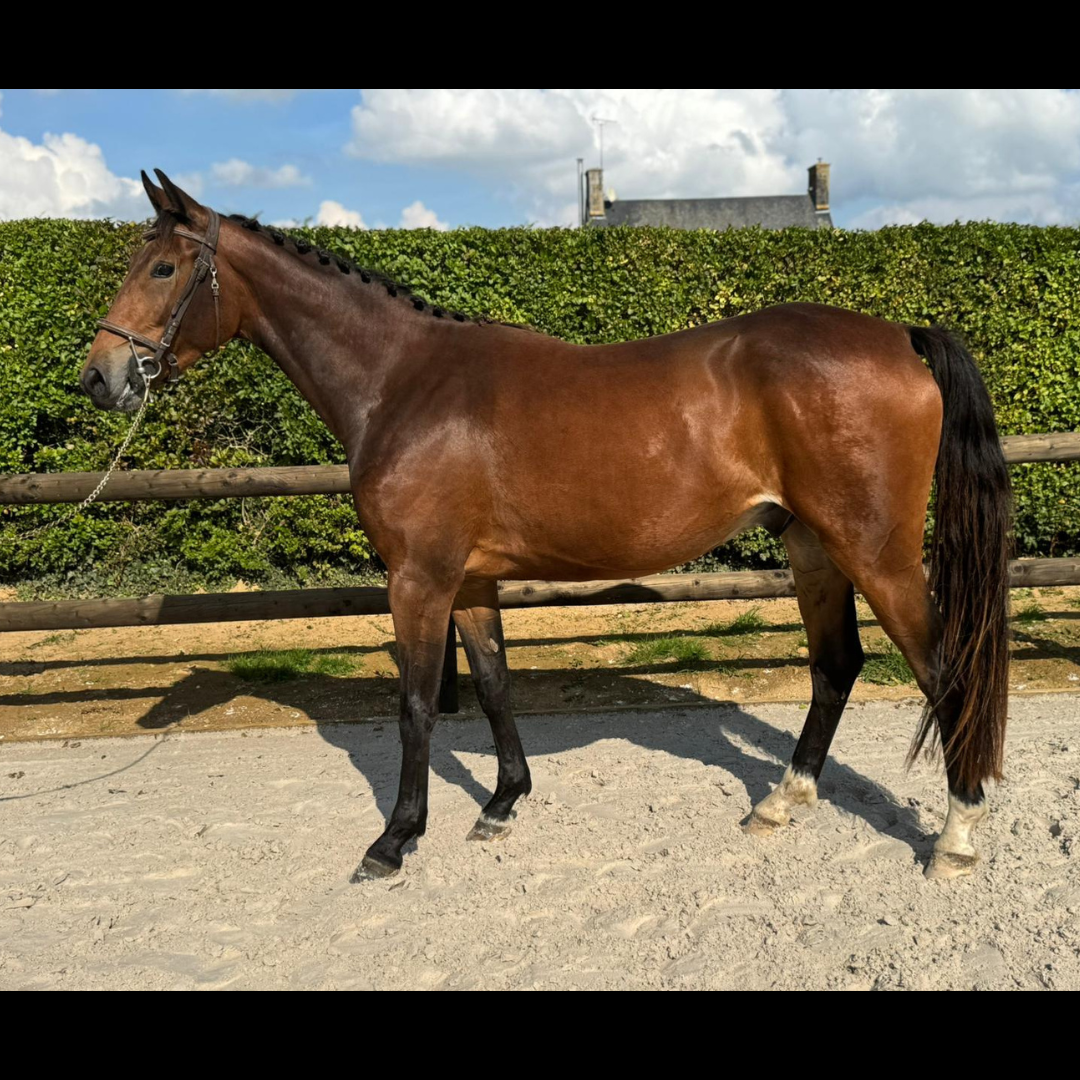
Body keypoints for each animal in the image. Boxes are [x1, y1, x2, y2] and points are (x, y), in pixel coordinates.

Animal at [80, 171, 1012, 883]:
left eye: (163, 266)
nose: (100, 377)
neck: (401, 382)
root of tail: (898, 336)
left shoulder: (417, 577)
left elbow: (415, 705)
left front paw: (394, 840)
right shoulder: (469, 579)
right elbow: (494, 683)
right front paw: (502, 803)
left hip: (877, 553)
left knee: (945, 671)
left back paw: (957, 836)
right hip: (813, 545)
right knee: (836, 666)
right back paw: (781, 804)